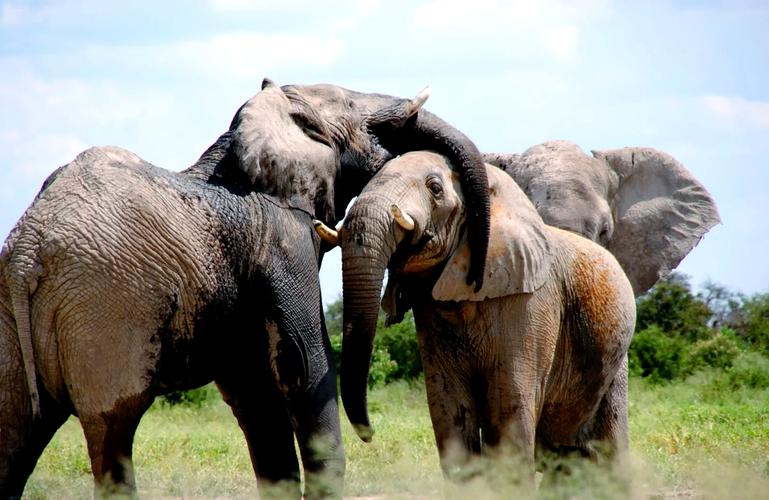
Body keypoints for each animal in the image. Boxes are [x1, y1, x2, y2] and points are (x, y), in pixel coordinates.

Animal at [0, 80, 492, 498]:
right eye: (353, 105)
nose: (474, 278)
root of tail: (28, 252)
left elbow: (256, 391)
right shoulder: (282, 238)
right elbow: (303, 363)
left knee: (15, 437)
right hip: (105, 309)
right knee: (113, 433)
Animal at [315, 151, 636, 482]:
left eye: (435, 188)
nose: (370, 434)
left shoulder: (531, 302)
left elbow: (510, 403)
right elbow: (448, 405)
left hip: (616, 359)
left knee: (609, 444)